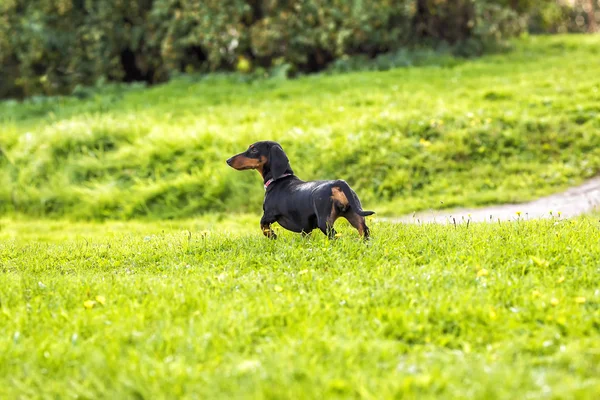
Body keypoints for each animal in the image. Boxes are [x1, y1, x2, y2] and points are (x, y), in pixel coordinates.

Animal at [226, 141, 372, 238]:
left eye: (254, 149)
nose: (228, 160)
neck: (280, 179)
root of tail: (337, 183)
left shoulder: (268, 214)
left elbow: (262, 225)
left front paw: (272, 235)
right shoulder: (305, 230)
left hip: (325, 222)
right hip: (356, 217)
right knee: (364, 232)